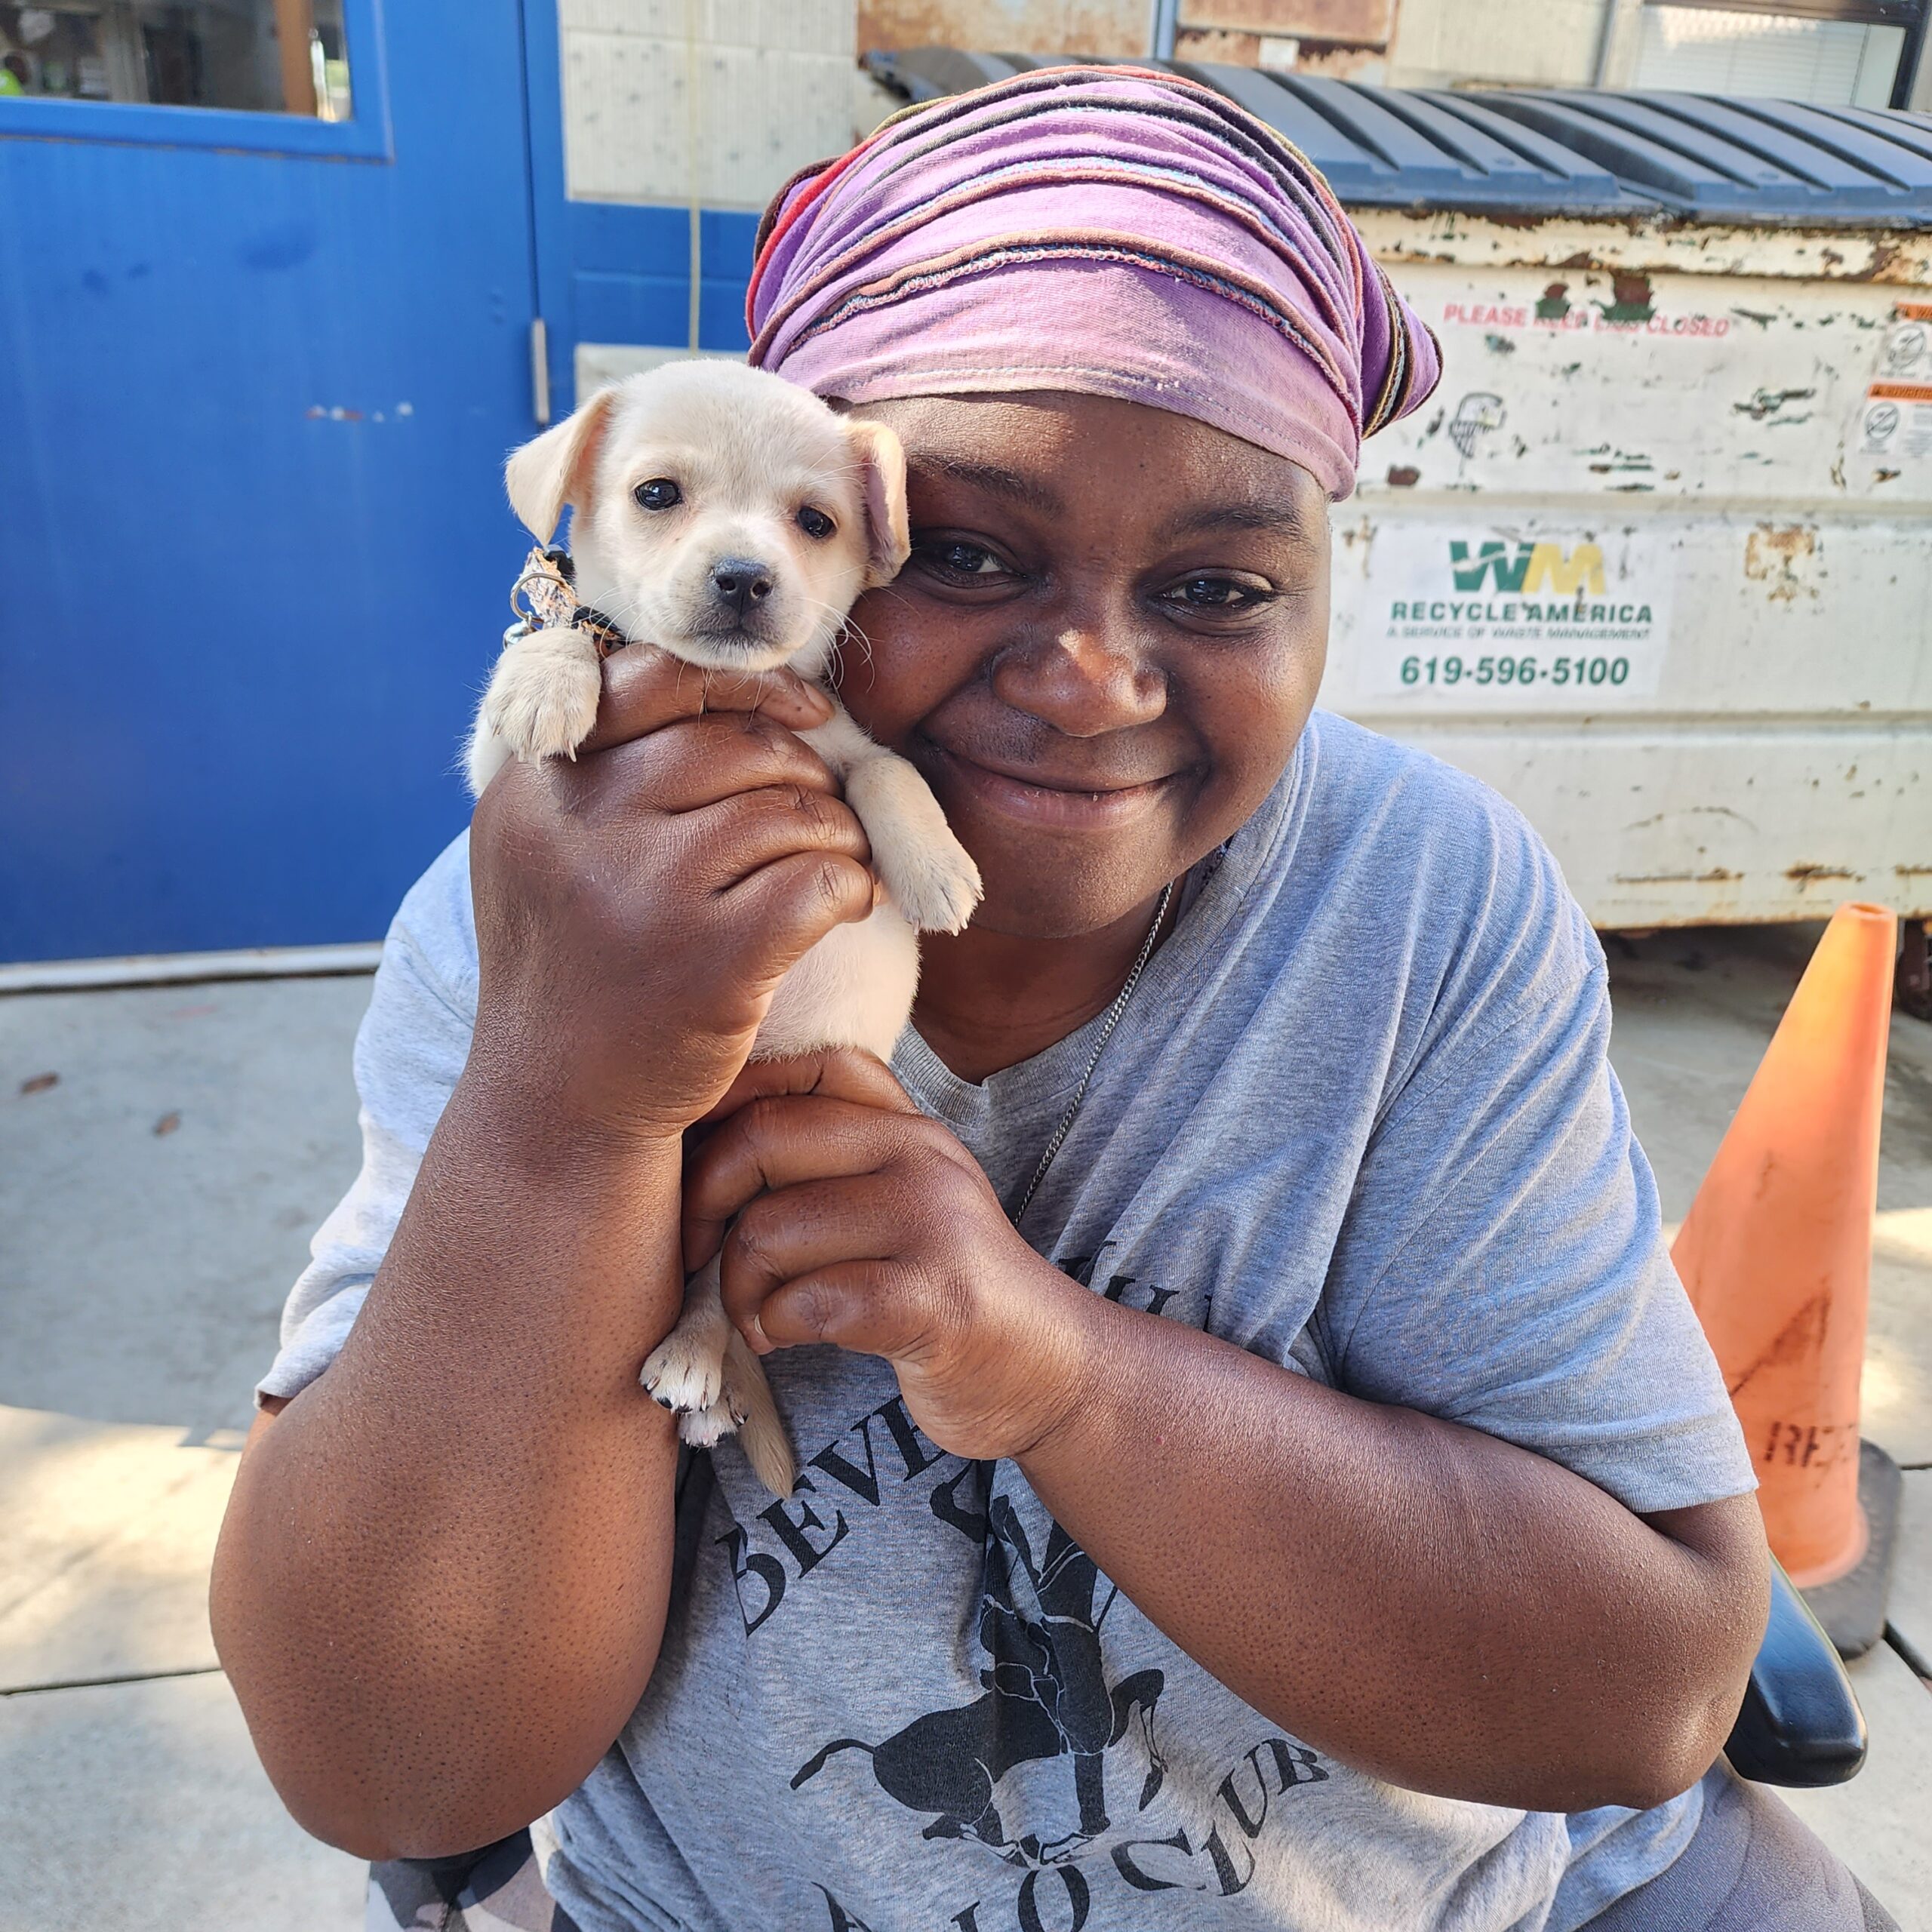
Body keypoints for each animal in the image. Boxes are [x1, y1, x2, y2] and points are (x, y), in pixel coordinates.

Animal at [469, 365, 981, 1506]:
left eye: (816, 522)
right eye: (658, 495)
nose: (746, 578)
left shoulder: (842, 738)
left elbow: (889, 768)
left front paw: (933, 866)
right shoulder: (486, 771)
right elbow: (566, 636)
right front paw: (547, 677)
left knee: (712, 1278)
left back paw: (700, 1366)